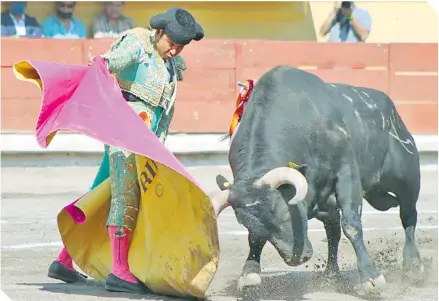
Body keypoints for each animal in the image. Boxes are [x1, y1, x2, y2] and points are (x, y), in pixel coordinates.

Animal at [210, 66, 426, 296]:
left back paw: (413, 266)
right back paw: (331, 275)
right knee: (333, 232)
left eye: (284, 213)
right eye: (244, 222)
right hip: (331, 202)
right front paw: (249, 274)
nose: (298, 259)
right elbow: (255, 237)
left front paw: (371, 277)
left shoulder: (347, 173)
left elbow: (351, 224)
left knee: (408, 215)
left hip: (407, 179)